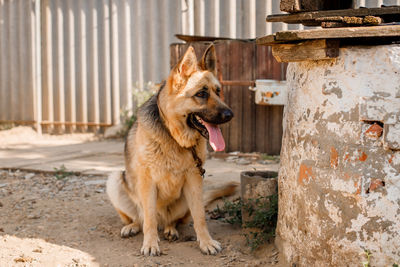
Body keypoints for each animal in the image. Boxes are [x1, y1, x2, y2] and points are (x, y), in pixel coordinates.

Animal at [106, 45, 234, 256]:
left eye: (218, 91)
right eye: (201, 94)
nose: (230, 115)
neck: (173, 136)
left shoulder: (194, 179)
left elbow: (200, 217)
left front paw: (206, 242)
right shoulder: (147, 181)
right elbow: (149, 218)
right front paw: (150, 244)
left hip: (185, 201)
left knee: (173, 221)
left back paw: (170, 229)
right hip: (115, 180)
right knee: (140, 219)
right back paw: (132, 226)